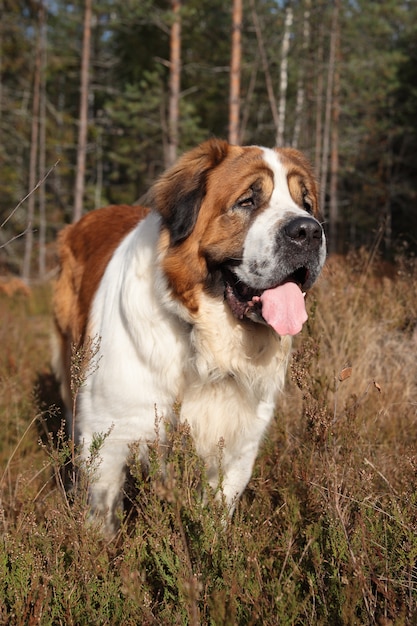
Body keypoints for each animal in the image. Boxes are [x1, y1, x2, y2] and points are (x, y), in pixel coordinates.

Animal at [52, 139, 324, 532]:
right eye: (248, 201)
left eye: (306, 205)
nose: (309, 231)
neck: (204, 344)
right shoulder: (109, 438)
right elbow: (102, 517)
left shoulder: (237, 448)